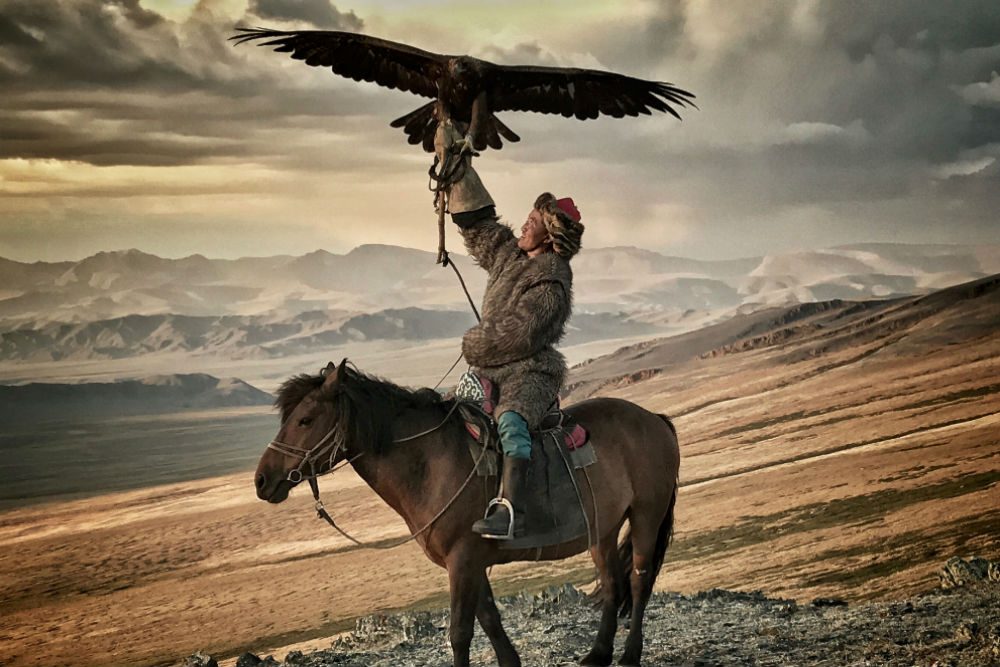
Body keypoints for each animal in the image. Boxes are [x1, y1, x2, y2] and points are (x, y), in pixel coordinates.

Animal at [254, 360, 684, 667]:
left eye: (305, 420)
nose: (261, 480)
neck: (430, 462)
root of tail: (655, 419)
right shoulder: (470, 561)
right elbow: (489, 618)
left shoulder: (462, 560)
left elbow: (460, 631)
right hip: (603, 529)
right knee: (612, 584)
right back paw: (597, 655)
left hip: (646, 515)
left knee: (639, 580)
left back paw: (629, 656)